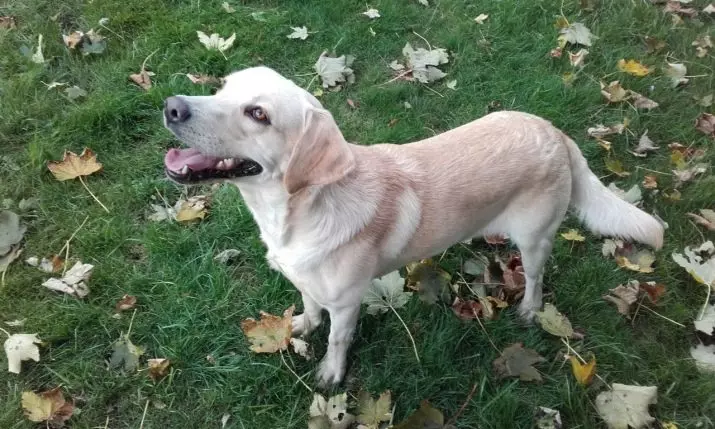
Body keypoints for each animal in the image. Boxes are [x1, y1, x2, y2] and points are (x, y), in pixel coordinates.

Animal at [164, 66, 664, 384]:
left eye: (258, 114)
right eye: (222, 88)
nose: (171, 106)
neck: (294, 212)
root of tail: (555, 132)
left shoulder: (347, 304)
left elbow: (337, 340)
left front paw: (331, 374)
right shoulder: (307, 282)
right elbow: (309, 306)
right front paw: (303, 325)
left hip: (535, 239)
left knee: (538, 278)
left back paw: (529, 309)